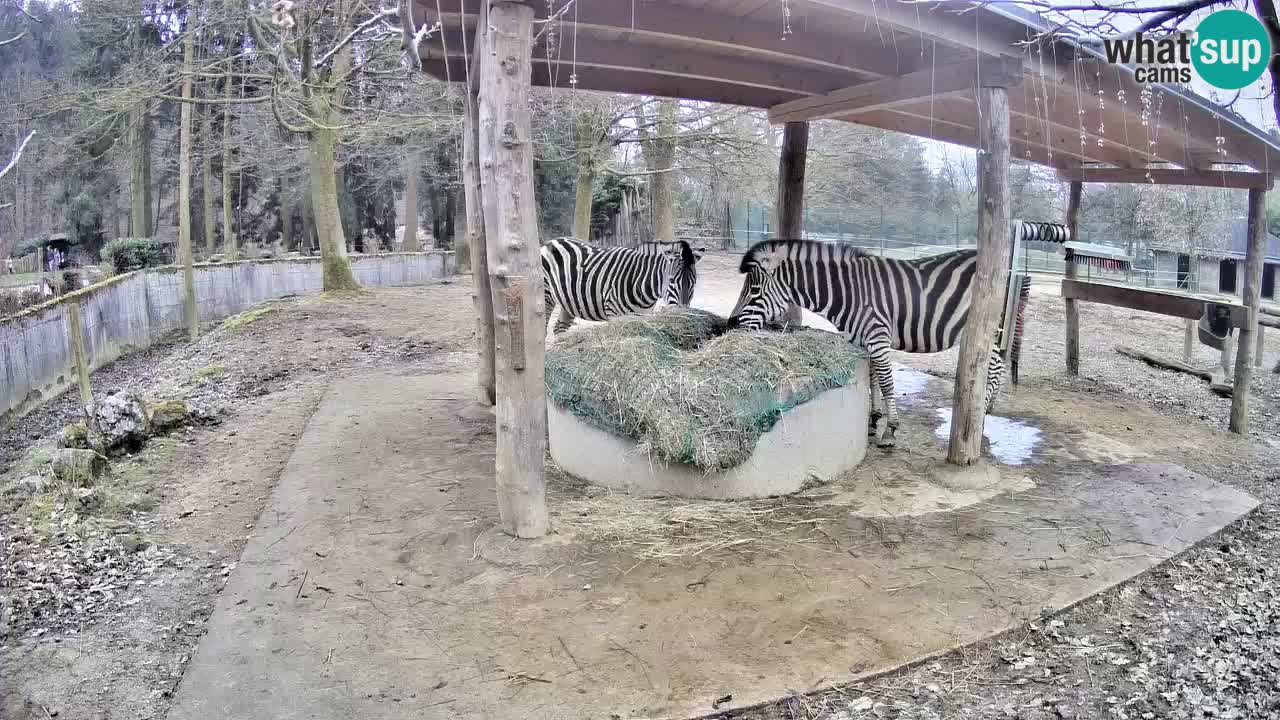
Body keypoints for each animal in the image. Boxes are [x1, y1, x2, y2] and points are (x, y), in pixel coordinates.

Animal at [535, 237, 706, 335]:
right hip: (546, 296)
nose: (684, 316)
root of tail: (551, 241)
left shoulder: (642, 316)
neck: (640, 280)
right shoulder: (614, 315)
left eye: (693, 284)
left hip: (569, 301)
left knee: (559, 328)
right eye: (671, 281)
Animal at [732, 238, 1008, 445]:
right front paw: (873, 418)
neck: (848, 292)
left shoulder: (877, 336)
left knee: (994, 371)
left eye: (754, 290)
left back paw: (979, 419)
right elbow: (872, 378)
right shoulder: (863, 340)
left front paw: (890, 429)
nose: (731, 324)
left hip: (992, 331)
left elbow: (886, 382)